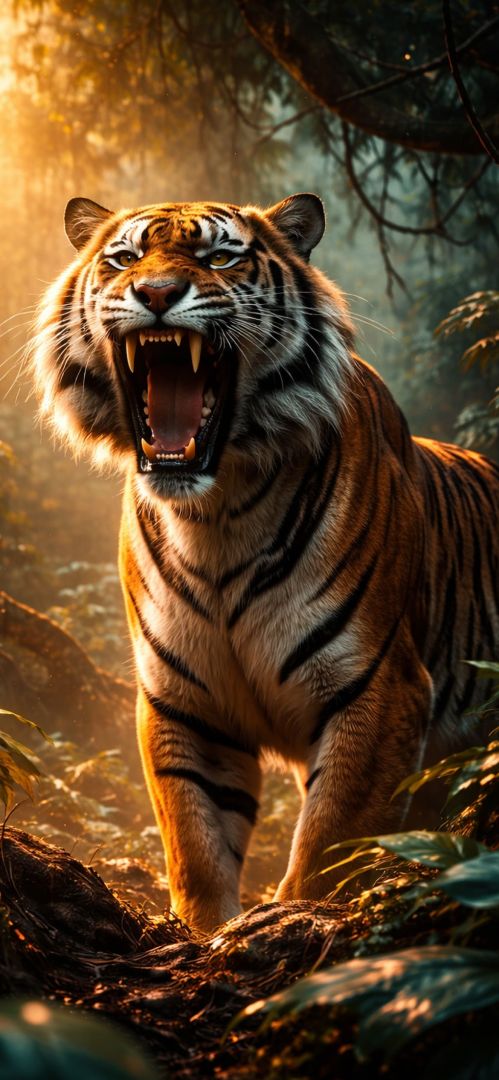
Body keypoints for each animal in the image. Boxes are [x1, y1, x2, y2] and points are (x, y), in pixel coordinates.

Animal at [31, 192, 499, 932]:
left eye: (221, 256)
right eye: (125, 258)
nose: (155, 293)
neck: (215, 513)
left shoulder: (378, 686)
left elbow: (330, 849)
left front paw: (296, 925)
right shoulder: (185, 705)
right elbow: (195, 845)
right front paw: (208, 934)